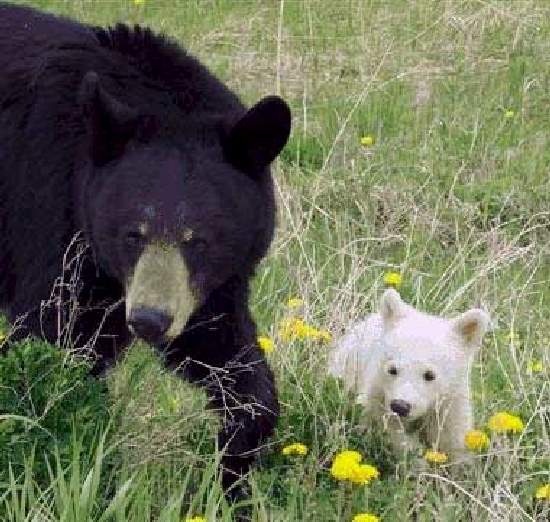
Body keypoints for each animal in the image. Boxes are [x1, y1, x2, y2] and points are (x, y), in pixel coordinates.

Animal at [0, 0, 294, 496]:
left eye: (199, 240)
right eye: (132, 233)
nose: (149, 321)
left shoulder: (202, 287)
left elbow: (220, 348)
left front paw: (233, 468)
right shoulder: (47, 213)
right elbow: (52, 343)